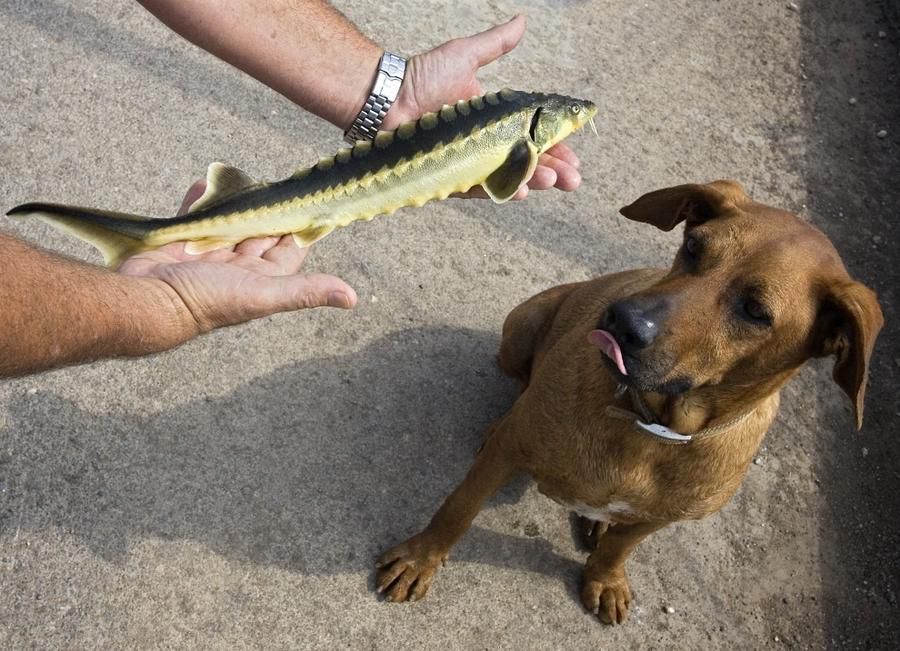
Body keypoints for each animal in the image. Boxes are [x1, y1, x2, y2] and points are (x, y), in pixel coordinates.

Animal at [374, 181, 884, 624]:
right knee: (519, 385)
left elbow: (621, 547)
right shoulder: (505, 456)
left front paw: (605, 578)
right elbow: (457, 509)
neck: (651, 423)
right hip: (524, 323)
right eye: (693, 246)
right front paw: (421, 558)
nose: (623, 320)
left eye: (757, 312)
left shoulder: (660, 517)